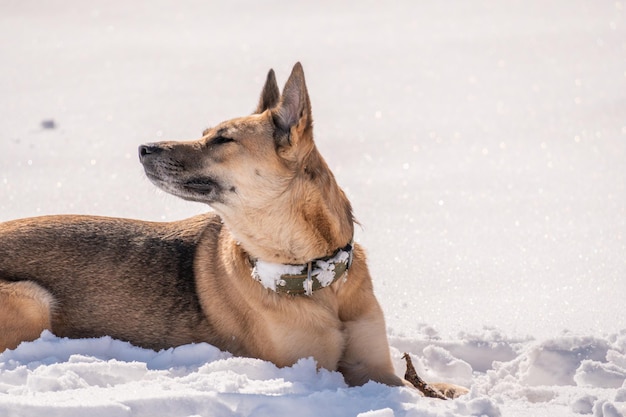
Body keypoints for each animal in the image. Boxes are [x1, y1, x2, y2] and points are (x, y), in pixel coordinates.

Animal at [0, 62, 466, 396]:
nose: (143, 148)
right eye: (207, 133)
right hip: (34, 302)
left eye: (222, 139)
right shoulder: (316, 368)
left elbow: (422, 386)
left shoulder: (373, 366)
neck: (314, 276)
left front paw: (451, 391)